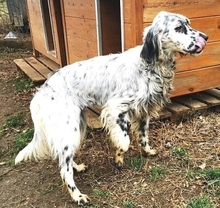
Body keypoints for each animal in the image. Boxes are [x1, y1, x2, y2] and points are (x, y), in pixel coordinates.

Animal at [15, 11, 208, 205]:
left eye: (188, 23)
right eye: (179, 28)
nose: (205, 37)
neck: (149, 65)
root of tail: (42, 92)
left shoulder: (144, 111)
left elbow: (143, 137)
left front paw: (145, 151)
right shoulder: (115, 108)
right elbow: (125, 140)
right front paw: (118, 156)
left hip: (77, 127)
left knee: (64, 159)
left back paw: (77, 167)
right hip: (69, 128)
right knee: (64, 169)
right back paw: (78, 196)